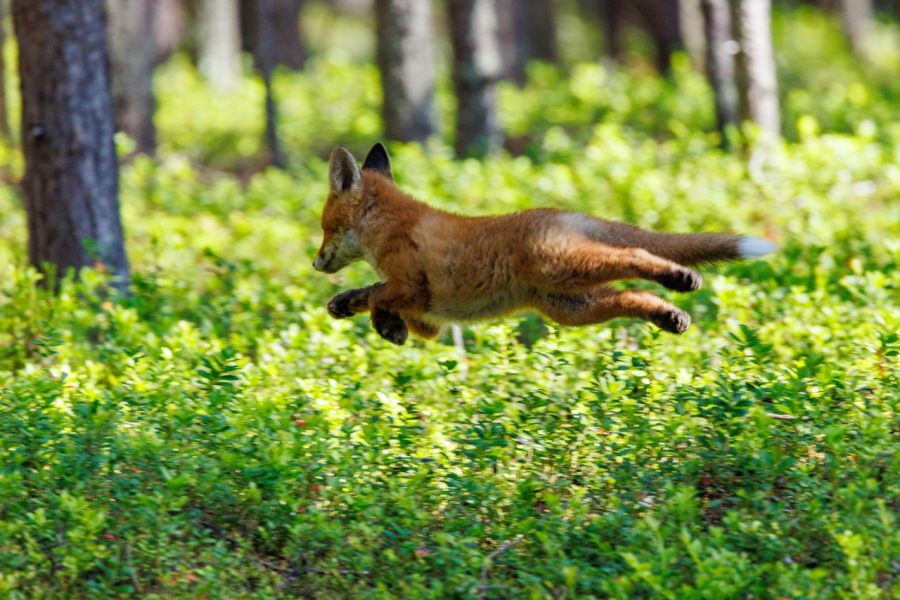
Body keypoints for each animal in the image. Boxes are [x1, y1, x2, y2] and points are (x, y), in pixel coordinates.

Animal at [314, 143, 777, 345]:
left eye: (322, 227)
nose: (316, 264)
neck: (389, 228)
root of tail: (563, 213)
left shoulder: (414, 289)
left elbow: (378, 295)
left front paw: (381, 323)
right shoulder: (430, 318)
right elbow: (372, 293)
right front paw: (346, 304)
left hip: (561, 267)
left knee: (635, 254)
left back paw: (680, 277)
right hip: (571, 305)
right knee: (634, 295)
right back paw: (670, 315)